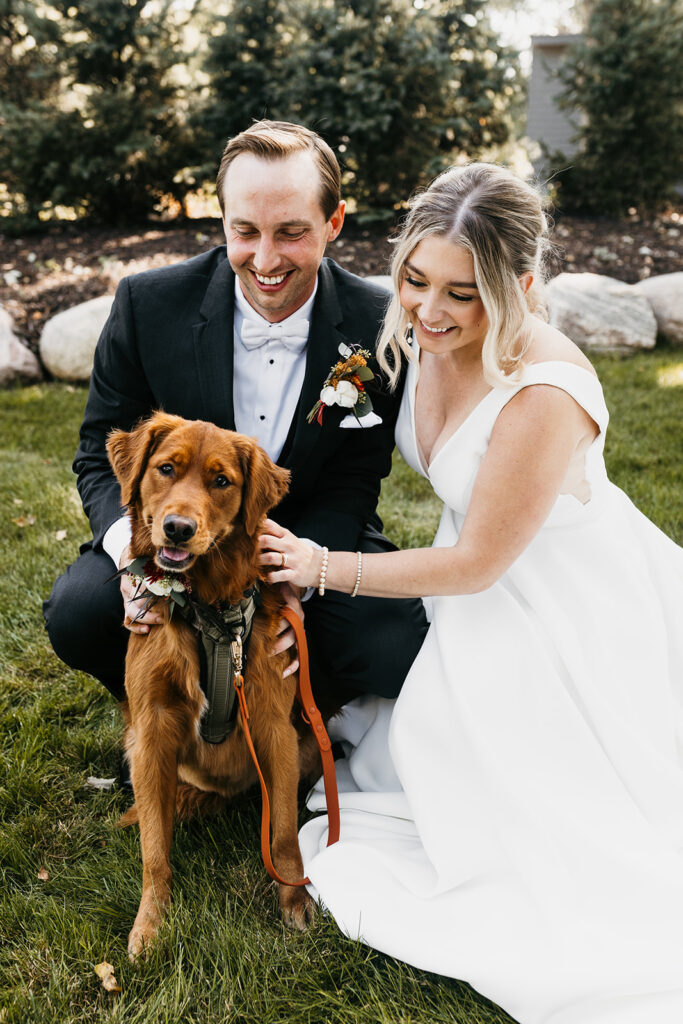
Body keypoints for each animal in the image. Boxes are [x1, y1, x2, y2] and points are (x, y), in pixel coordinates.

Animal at [107, 411, 321, 954]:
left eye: (221, 481)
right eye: (165, 468)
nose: (178, 529)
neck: (208, 606)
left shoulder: (273, 725)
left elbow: (283, 833)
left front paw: (294, 898)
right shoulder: (152, 731)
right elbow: (154, 850)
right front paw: (150, 924)